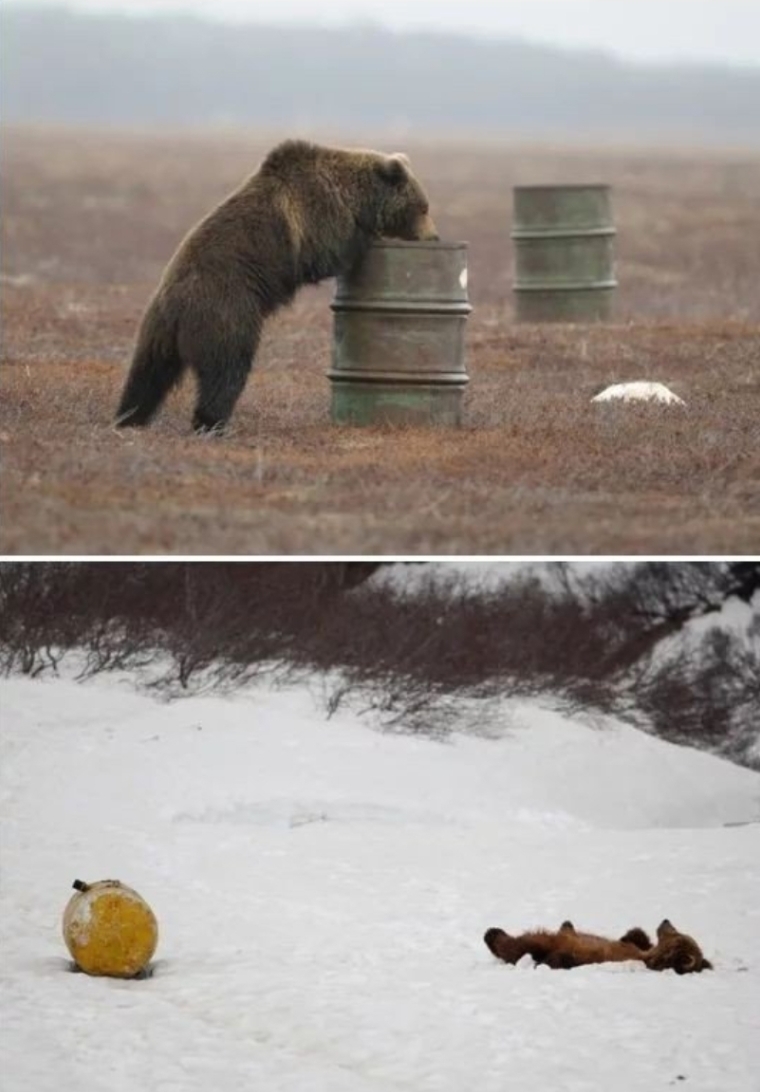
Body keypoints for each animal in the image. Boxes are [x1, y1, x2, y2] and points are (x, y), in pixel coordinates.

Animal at [115, 139, 439, 433]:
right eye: (423, 207)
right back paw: (211, 422)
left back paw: (129, 417)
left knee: (147, 374)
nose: (433, 237)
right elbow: (327, 253)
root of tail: (175, 308)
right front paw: (367, 236)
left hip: (156, 332)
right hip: (226, 310)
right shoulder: (316, 215)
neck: (353, 196)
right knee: (227, 368)